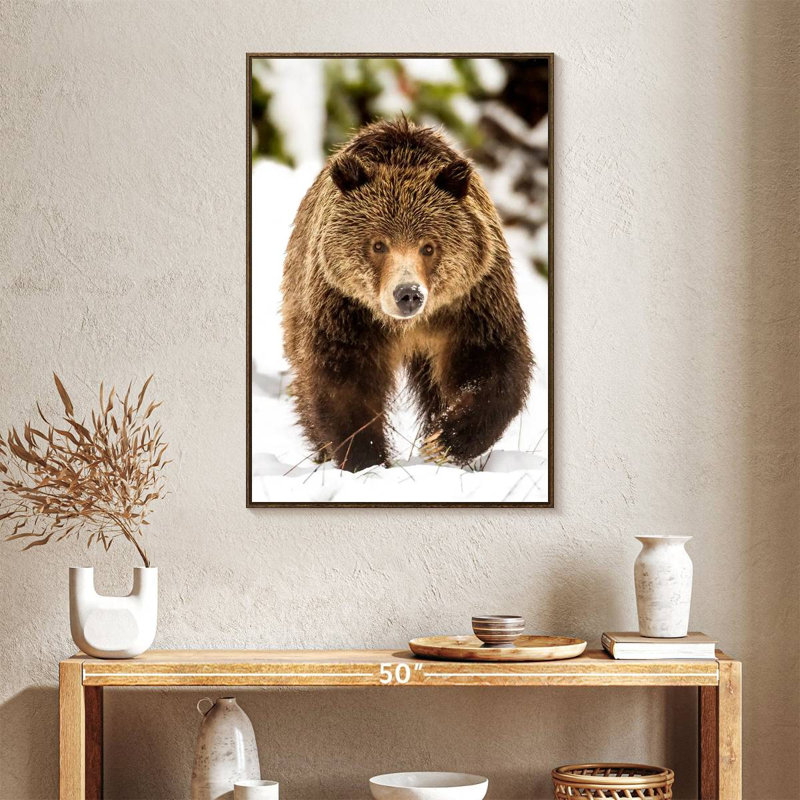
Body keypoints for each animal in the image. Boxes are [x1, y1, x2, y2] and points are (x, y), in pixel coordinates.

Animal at [280, 118, 533, 472]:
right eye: (378, 244)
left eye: (428, 246)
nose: (408, 294)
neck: (407, 325)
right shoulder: (346, 311)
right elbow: (343, 383)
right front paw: (366, 458)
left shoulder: (471, 303)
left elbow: (491, 366)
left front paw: (443, 441)